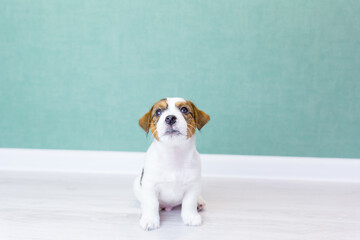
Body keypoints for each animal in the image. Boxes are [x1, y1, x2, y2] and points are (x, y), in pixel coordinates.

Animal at [134, 97, 210, 231]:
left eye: (184, 109)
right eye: (158, 112)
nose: (170, 118)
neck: (173, 154)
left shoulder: (193, 186)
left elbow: (189, 202)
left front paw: (191, 216)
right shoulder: (149, 186)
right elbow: (151, 203)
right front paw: (150, 219)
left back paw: (199, 202)